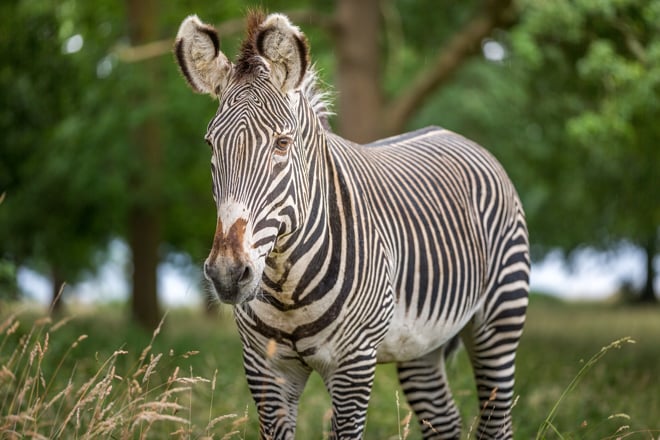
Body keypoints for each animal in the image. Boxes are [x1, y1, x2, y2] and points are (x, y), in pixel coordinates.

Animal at [173, 11, 528, 440]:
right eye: (211, 145)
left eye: (282, 144)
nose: (226, 274)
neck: (285, 285)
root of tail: (454, 136)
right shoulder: (265, 367)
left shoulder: (353, 364)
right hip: (423, 343)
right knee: (444, 421)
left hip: (500, 320)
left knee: (497, 422)